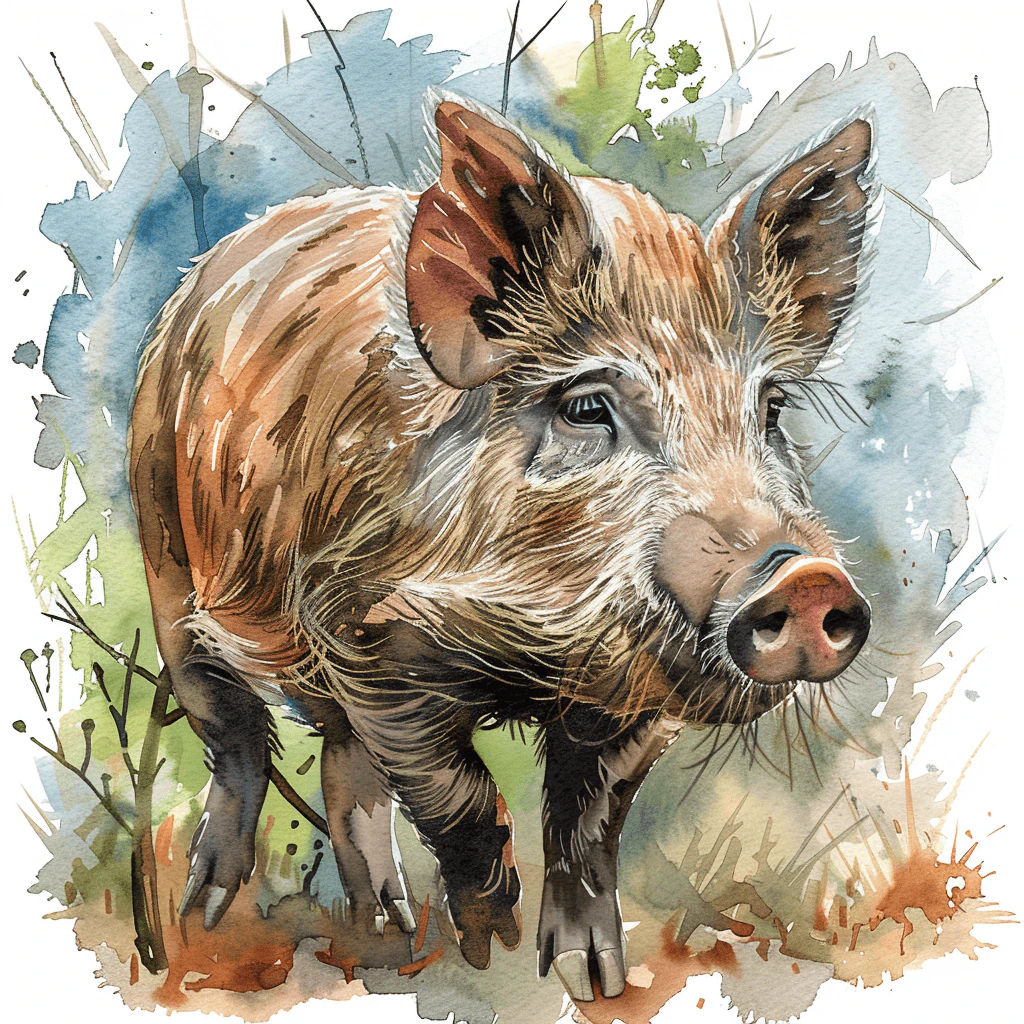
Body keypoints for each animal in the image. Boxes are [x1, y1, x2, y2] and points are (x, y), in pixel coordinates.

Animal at [127, 91, 875, 1002]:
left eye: (769, 409)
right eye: (586, 407)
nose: (804, 579)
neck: (538, 657)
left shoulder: (633, 695)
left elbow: (589, 820)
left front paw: (591, 981)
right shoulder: (362, 633)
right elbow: (459, 796)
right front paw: (493, 946)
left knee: (345, 772)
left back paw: (387, 930)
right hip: (163, 544)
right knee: (233, 736)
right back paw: (206, 918)